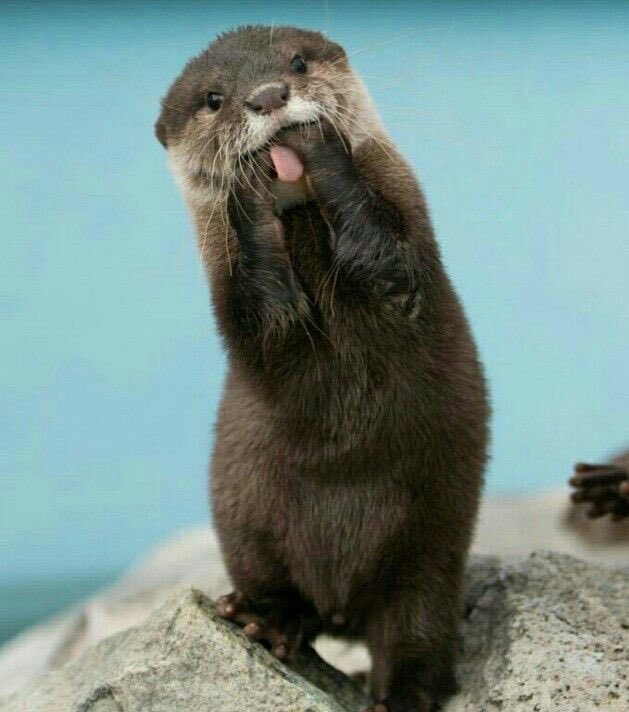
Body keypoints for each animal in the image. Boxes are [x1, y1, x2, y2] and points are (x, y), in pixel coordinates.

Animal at [155, 26, 489, 712]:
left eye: (297, 61)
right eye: (213, 99)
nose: (267, 95)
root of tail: (342, 607)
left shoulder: (405, 241)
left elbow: (387, 259)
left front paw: (318, 143)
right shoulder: (241, 304)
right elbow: (265, 315)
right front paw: (249, 187)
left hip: (431, 555)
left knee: (416, 629)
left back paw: (401, 693)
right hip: (247, 522)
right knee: (281, 589)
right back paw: (268, 621)